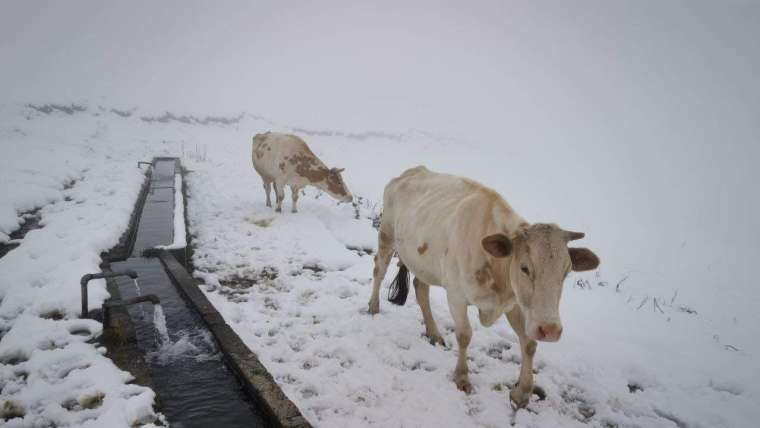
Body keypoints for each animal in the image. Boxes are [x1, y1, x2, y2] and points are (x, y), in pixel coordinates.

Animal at [368, 166, 600, 410]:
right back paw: (373, 307)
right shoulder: (456, 295)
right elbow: (464, 335)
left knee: (420, 288)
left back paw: (434, 333)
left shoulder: (515, 303)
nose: (550, 330)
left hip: (424, 262)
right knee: (379, 270)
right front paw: (462, 378)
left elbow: (529, 344)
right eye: (525, 268)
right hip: (386, 235)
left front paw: (522, 393)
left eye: (566, 272)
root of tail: (412, 171)